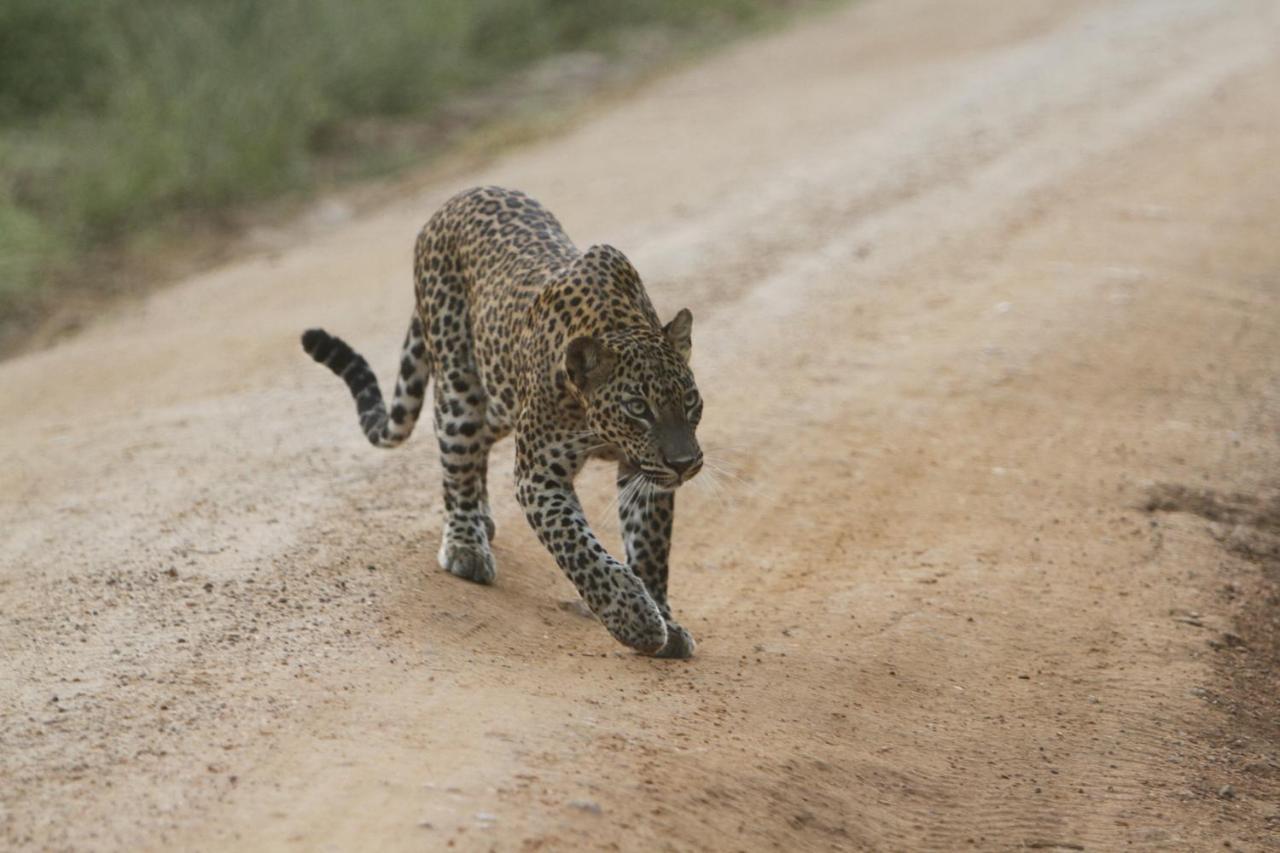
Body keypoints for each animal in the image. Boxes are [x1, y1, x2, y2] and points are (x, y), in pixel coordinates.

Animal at [303, 183, 706, 653]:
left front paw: (664, 619)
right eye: (638, 408)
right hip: (461, 391)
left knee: (475, 451)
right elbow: (581, 551)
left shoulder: (645, 473)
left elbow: (650, 547)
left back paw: (482, 520)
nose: (685, 464)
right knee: (457, 461)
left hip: (497, 399)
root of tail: (457, 198)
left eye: (690, 400)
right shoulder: (540, 476)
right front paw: (634, 620)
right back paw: (466, 545)